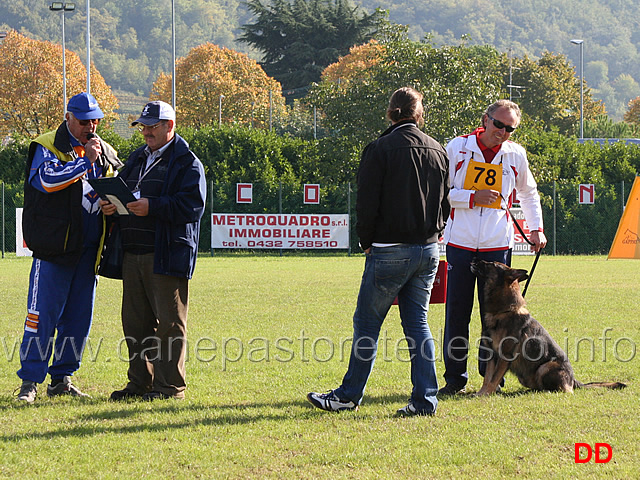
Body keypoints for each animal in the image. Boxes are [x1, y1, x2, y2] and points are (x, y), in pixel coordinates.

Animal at [470, 260, 624, 396]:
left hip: (545, 367)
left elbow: (494, 379)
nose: (474, 260)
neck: (503, 311)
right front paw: (481, 393)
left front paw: (486, 394)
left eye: (492, 264)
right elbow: (487, 378)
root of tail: (573, 380)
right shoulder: (491, 354)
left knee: (565, 390)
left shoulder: (505, 356)